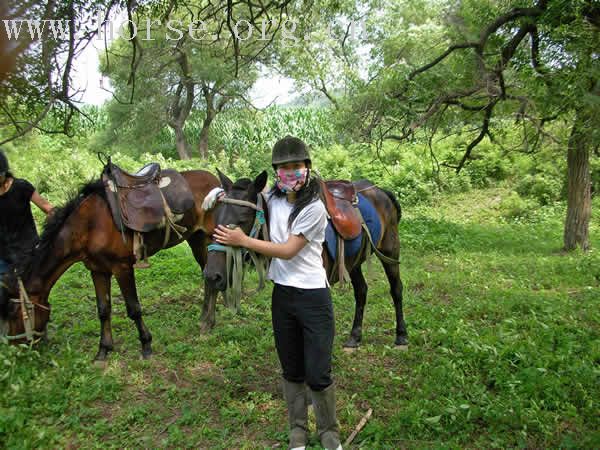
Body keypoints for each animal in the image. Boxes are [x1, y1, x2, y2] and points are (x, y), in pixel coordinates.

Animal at [0, 171, 223, 360]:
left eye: (14, 313)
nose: (16, 351)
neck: (89, 226)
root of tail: (216, 181)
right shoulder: (98, 270)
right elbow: (103, 310)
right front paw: (103, 350)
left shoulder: (122, 267)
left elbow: (134, 308)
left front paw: (146, 345)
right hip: (196, 238)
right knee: (208, 277)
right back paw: (205, 319)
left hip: (210, 238)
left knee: (213, 277)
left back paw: (208, 323)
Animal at [203, 170, 408, 348]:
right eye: (217, 217)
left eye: (243, 220)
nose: (212, 276)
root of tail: (380, 191)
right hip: (352, 262)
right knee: (362, 291)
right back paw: (354, 337)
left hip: (390, 251)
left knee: (396, 289)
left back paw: (401, 336)